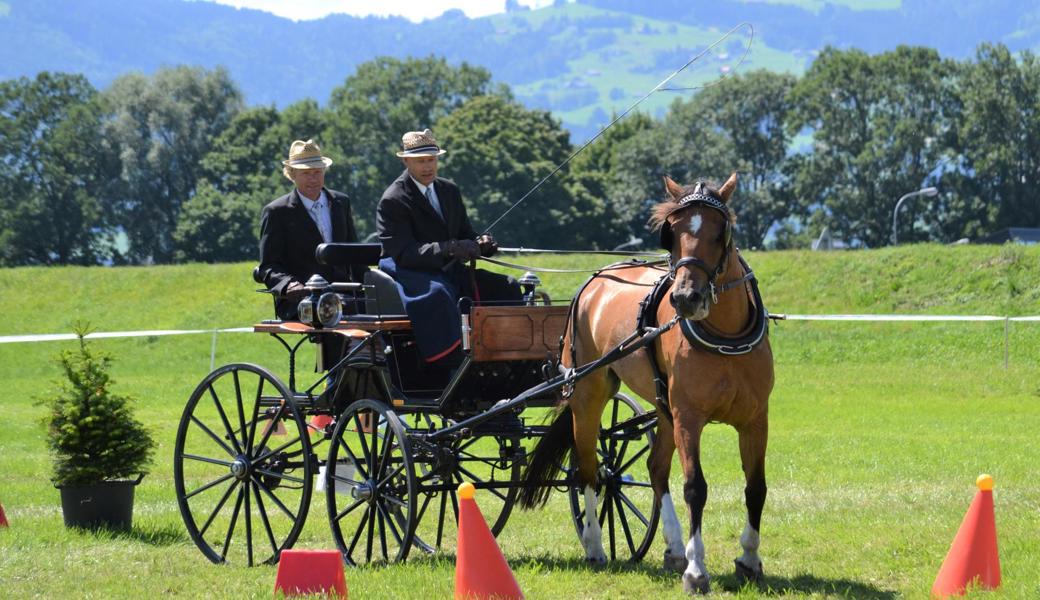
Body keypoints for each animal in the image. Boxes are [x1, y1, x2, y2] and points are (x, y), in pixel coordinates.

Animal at [517, 170, 773, 590]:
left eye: (720, 232)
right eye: (673, 232)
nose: (685, 298)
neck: (726, 335)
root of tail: (595, 281)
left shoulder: (755, 419)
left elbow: (756, 487)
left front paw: (749, 560)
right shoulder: (689, 417)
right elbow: (695, 487)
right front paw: (696, 570)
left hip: (663, 408)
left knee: (655, 468)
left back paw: (672, 547)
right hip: (590, 393)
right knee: (588, 470)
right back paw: (595, 546)